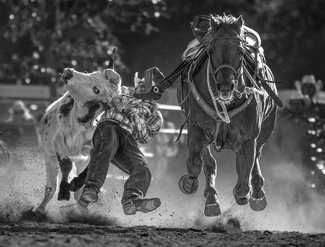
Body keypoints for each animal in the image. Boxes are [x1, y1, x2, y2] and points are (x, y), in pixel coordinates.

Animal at [175, 14, 280, 217]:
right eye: (211, 51)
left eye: (240, 51)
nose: (225, 86)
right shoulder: (197, 128)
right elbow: (196, 164)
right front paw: (189, 183)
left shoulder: (249, 137)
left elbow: (245, 171)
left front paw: (246, 193)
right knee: (209, 164)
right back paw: (211, 200)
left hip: (266, 129)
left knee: (255, 159)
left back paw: (257, 192)